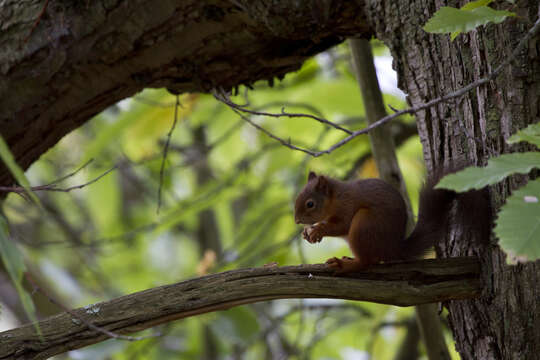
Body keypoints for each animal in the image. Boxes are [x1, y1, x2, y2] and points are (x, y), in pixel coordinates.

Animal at [296, 172, 490, 272]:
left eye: (310, 204)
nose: (297, 220)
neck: (336, 197)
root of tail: (392, 248)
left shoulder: (347, 207)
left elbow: (341, 225)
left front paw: (318, 230)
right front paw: (307, 232)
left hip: (364, 224)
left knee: (367, 262)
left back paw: (346, 264)